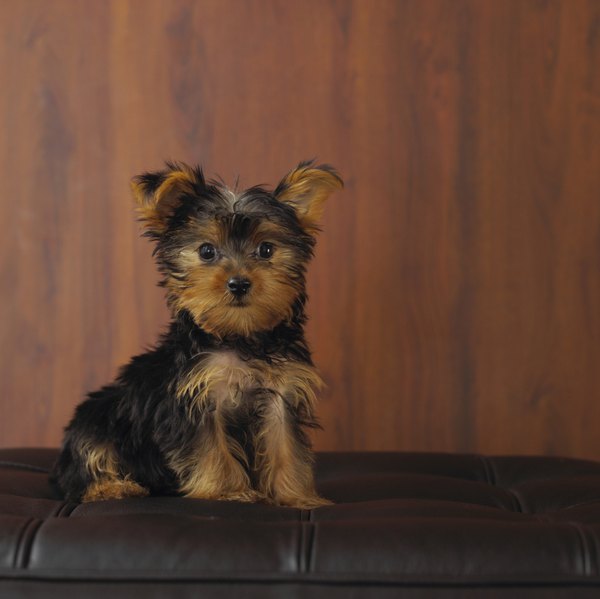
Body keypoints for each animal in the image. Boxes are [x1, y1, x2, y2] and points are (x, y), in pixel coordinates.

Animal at [50, 161, 342, 510]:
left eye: (266, 249)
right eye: (206, 251)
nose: (239, 283)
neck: (239, 337)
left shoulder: (280, 395)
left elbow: (285, 445)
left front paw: (297, 496)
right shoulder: (196, 396)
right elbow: (211, 448)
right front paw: (229, 491)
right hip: (97, 417)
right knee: (83, 464)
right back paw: (112, 487)